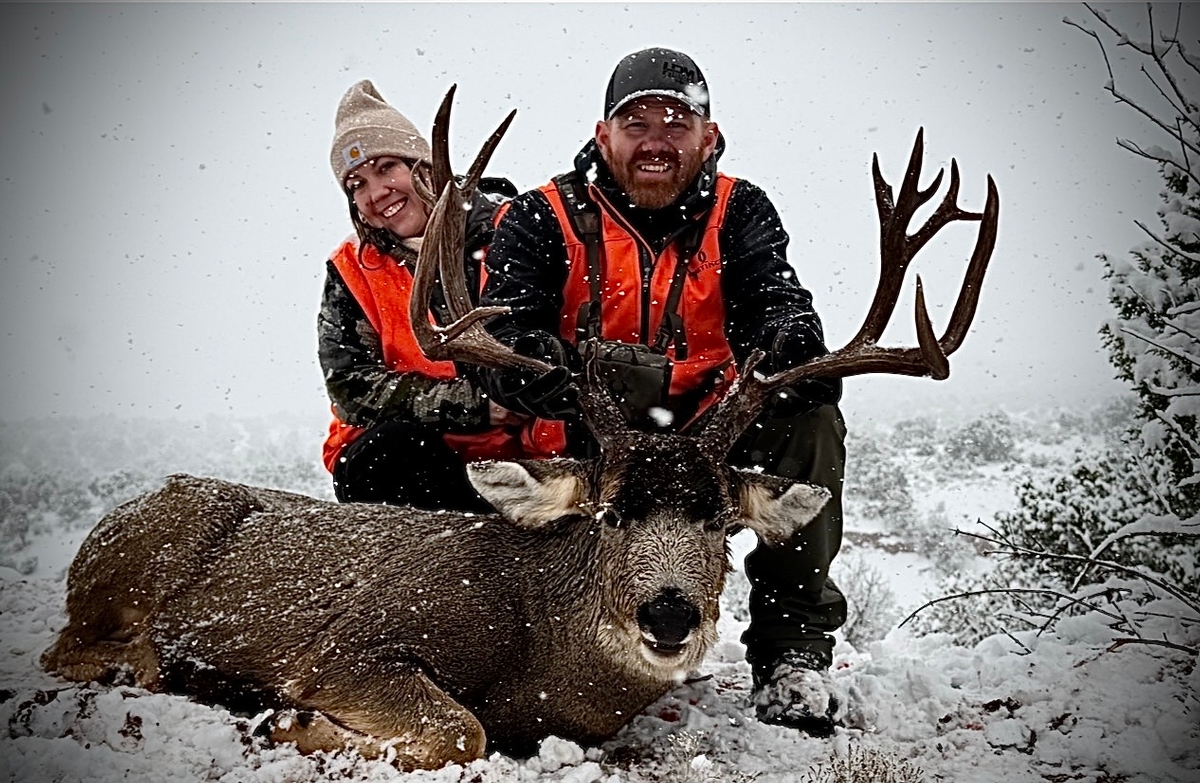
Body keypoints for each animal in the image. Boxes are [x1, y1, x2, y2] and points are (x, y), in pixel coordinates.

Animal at [41, 86, 998, 771]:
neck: (535, 655)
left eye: (723, 522)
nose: (669, 611)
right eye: (610, 511)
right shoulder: (352, 646)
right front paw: (283, 720)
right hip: (121, 579)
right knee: (67, 652)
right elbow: (456, 728)